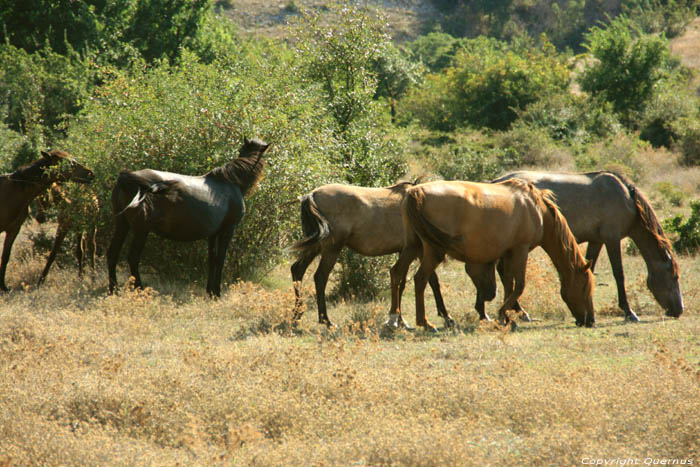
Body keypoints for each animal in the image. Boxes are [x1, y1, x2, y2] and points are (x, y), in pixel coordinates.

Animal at [0, 152, 94, 292]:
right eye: (69, 163)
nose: (90, 174)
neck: (16, 191)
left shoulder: (14, 229)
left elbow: (5, 256)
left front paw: (4, 287)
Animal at [107, 137, 270, 296]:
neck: (231, 182)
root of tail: (127, 178)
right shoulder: (228, 229)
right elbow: (220, 259)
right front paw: (217, 293)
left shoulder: (213, 234)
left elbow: (212, 259)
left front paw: (210, 292)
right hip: (141, 229)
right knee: (133, 257)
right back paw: (140, 289)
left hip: (121, 224)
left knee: (112, 253)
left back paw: (113, 289)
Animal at [288, 181, 456, 328]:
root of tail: (311, 195)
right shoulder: (420, 251)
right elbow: (432, 281)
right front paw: (446, 317)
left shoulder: (405, 252)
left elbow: (402, 283)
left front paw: (400, 320)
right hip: (331, 249)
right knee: (320, 277)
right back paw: (326, 321)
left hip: (315, 246)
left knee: (297, 270)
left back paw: (297, 316)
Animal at [388, 179, 596, 332]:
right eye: (584, 286)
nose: (590, 320)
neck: (536, 209)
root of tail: (415, 192)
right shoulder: (520, 250)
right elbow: (519, 285)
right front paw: (503, 314)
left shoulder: (508, 253)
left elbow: (508, 283)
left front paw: (508, 317)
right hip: (432, 251)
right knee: (420, 280)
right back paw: (425, 323)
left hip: (413, 247)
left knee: (397, 273)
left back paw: (394, 319)